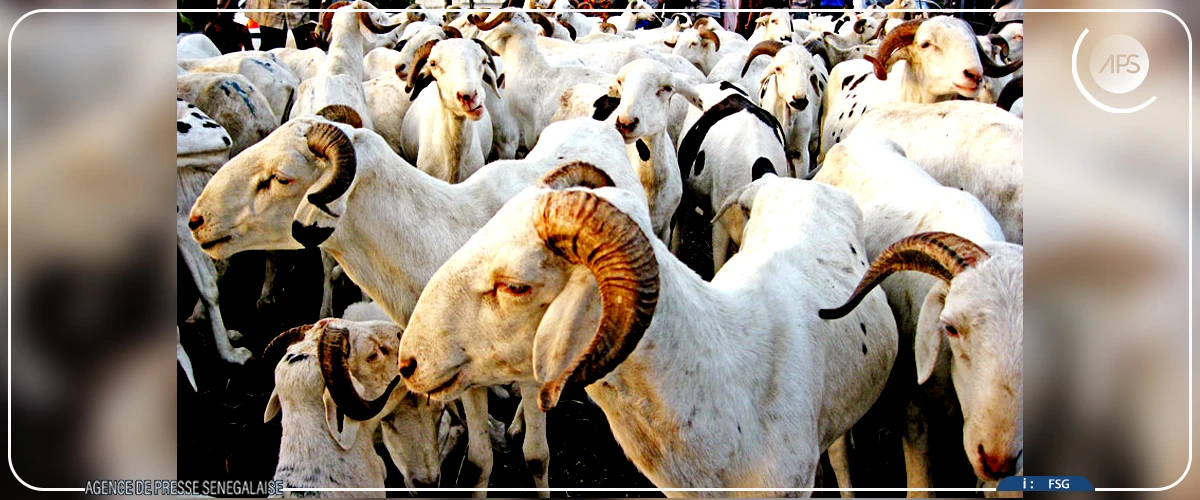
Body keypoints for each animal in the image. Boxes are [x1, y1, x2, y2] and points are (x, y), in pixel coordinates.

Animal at [188, 116, 644, 498]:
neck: (437, 238)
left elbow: (536, 457)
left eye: (280, 178)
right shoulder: (461, 378)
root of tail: (599, 122)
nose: (196, 220)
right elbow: (479, 462)